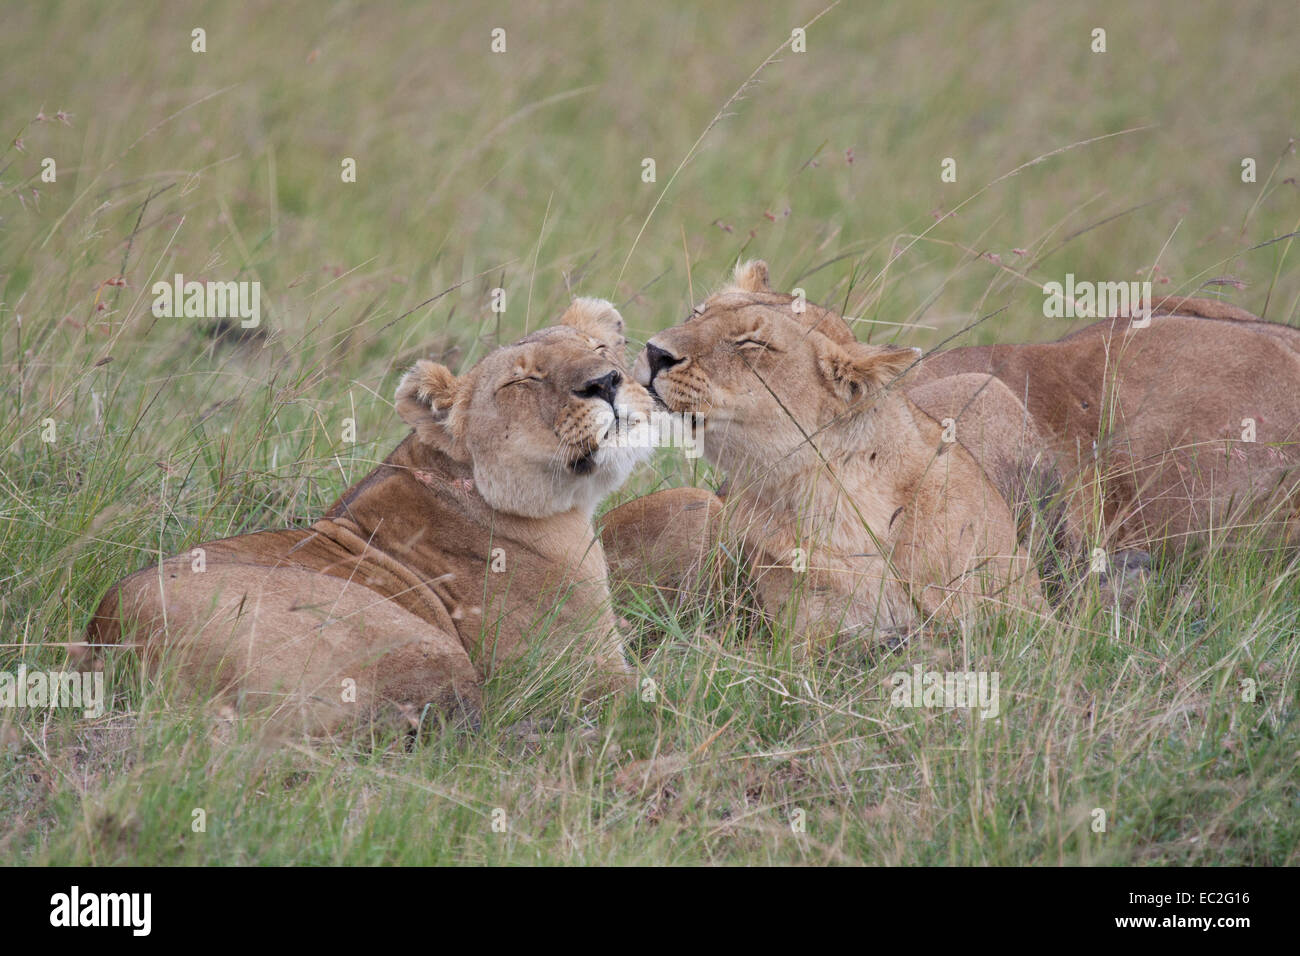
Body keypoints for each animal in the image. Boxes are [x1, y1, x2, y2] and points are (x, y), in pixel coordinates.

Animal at [75, 299, 655, 736]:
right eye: (522, 381)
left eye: (599, 349)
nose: (606, 381)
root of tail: (111, 642)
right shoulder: (581, 674)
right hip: (430, 648)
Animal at [602, 261, 1045, 651]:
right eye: (698, 313)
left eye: (751, 343)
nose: (654, 351)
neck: (840, 496)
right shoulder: (803, 640)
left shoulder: (1025, 612)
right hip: (698, 503)